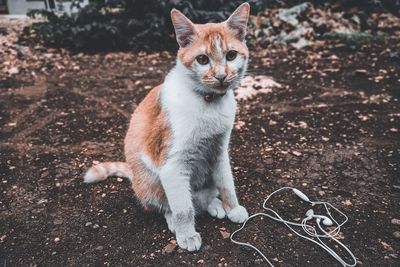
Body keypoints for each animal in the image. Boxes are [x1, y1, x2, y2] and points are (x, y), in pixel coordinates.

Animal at [84, 2, 250, 253]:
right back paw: (176, 220)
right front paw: (187, 234)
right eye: (202, 60)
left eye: (231, 55)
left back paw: (213, 204)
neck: (208, 103)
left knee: (202, 197)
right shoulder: (172, 165)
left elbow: (227, 184)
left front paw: (233, 208)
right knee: (169, 205)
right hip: (151, 180)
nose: (221, 76)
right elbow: (183, 207)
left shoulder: (220, 151)